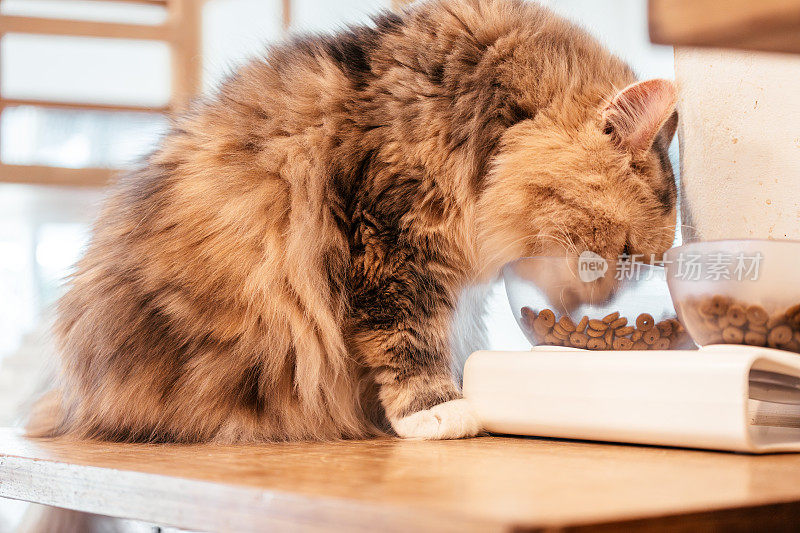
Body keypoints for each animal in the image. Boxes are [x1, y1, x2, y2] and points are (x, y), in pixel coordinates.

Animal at [34, 0, 680, 440]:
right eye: (624, 254)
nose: (605, 304)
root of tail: (68, 398)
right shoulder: (391, 244)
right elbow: (408, 342)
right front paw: (441, 410)